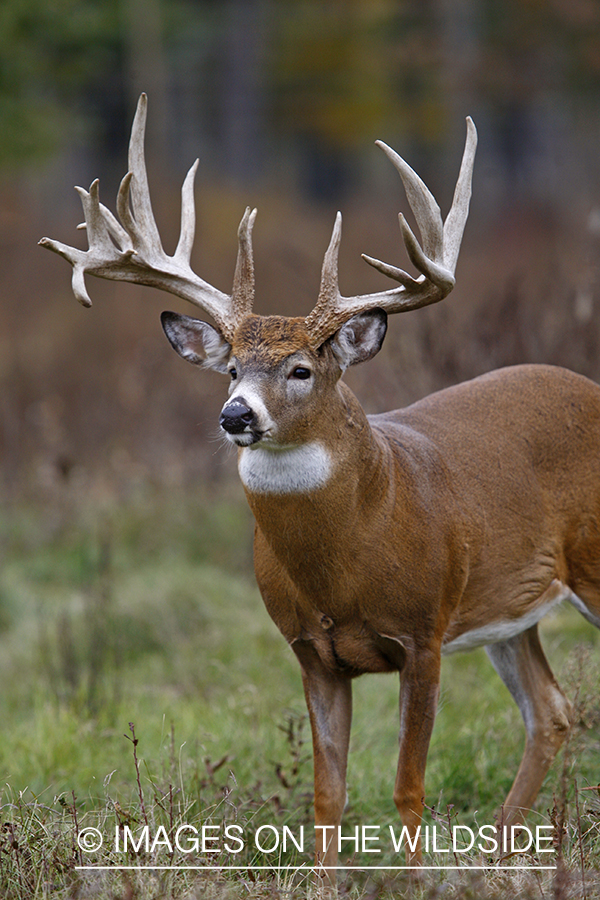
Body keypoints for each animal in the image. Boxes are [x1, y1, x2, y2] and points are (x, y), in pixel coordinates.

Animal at [41, 96, 600, 880]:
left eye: (302, 368)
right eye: (231, 367)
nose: (235, 415)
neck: (346, 564)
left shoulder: (422, 633)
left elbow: (406, 785)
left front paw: (416, 885)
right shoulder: (311, 650)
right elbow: (327, 794)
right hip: (509, 606)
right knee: (550, 710)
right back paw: (494, 856)